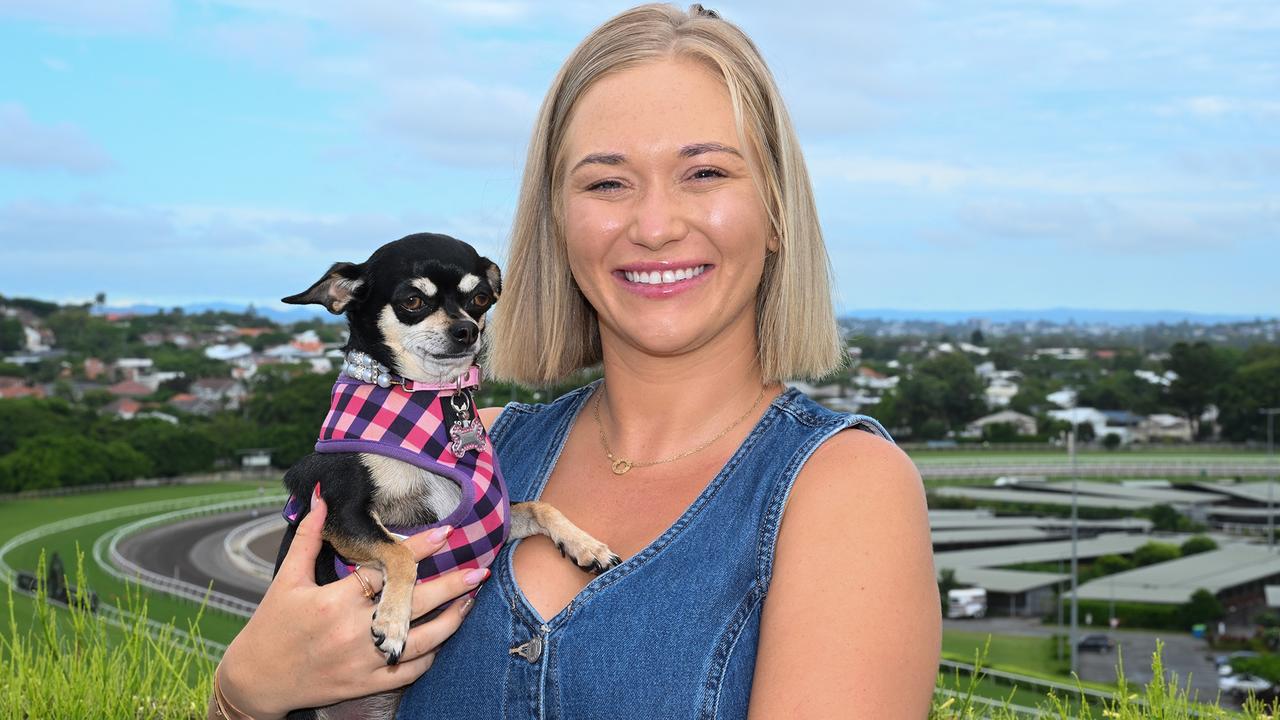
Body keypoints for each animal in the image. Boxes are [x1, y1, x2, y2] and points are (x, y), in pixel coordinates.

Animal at [277, 233, 622, 712]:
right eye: (412, 301)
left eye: (480, 298)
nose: (467, 330)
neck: (428, 397)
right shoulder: (341, 511)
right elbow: (401, 552)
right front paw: (393, 621)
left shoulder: (493, 518)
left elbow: (542, 505)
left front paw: (586, 546)